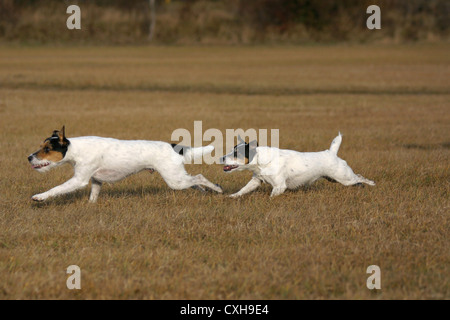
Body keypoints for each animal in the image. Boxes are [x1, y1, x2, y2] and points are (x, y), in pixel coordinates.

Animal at [27, 126, 221, 201]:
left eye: (47, 149)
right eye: (41, 147)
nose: (29, 157)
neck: (76, 149)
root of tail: (173, 147)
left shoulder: (79, 180)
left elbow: (56, 189)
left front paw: (39, 197)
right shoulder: (96, 180)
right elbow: (93, 196)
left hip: (174, 179)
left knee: (200, 177)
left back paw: (217, 188)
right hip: (178, 177)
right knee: (194, 181)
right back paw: (205, 191)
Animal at [220, 132, 374, 198]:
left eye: (236, 153)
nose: (221, 157)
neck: (262, 162)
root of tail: (331, 152)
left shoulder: (280, 186)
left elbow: (272, 196)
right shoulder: (256, 180)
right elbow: (243, 190)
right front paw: (232, 196)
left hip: (344, 178)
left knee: (360, 177)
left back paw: (372, 183)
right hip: (336, 179)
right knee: (358, 181)